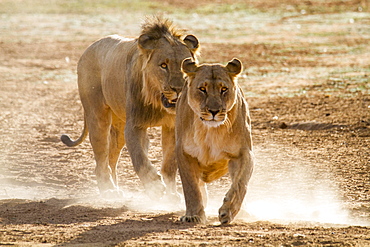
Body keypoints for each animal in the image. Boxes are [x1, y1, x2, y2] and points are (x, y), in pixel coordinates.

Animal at [60, 16, 199, 199]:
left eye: (185, 65)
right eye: (163, 65)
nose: (179, 88)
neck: (157, 101)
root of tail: (88, 49)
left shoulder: (172, 126)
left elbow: (170, 163)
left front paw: (171, 195)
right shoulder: (134, 125)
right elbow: (139, 158)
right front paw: (155, 186)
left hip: (119, 125)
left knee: (112, 158)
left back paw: (116, 189)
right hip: (97, 116)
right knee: (101, 159)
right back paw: (109, 190)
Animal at [176, 57, 254, 224]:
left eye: (223, 89)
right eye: (202, 89)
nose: (214, 111)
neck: (210, 131)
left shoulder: (244, 153)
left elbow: (240, 183)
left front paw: (228, 210)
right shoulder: (184, 153)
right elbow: (191, 187)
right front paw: (193, 215)